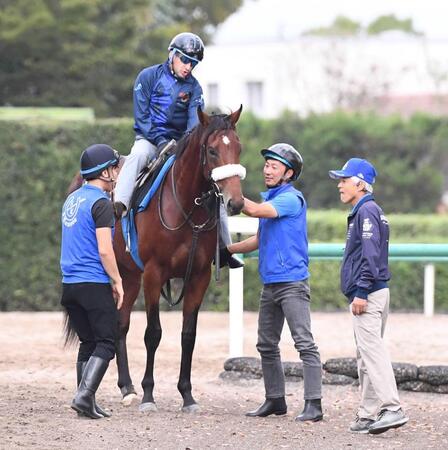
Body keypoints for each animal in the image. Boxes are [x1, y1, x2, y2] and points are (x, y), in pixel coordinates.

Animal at [109, 106, 245, 414]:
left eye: (238, 148)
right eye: (212, 150)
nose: (236, 203)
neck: (185, 206)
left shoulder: (198, 277)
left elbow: (188, 336)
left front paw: (187, 396)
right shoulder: (153, 274)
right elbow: (153, 333)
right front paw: (149, 395)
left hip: (129, 278)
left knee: (121, 325)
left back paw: (127, 387)